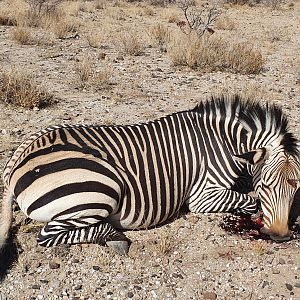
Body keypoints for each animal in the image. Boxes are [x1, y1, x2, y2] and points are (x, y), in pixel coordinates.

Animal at [0, 95, 300, 254]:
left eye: (296, 189)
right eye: (266, 186)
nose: (281, 236)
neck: (221, 143)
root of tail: (18, 161)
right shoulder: (201, 196)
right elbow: (248, 200)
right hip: (101, 187)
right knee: (47, 235)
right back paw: (113, 235)